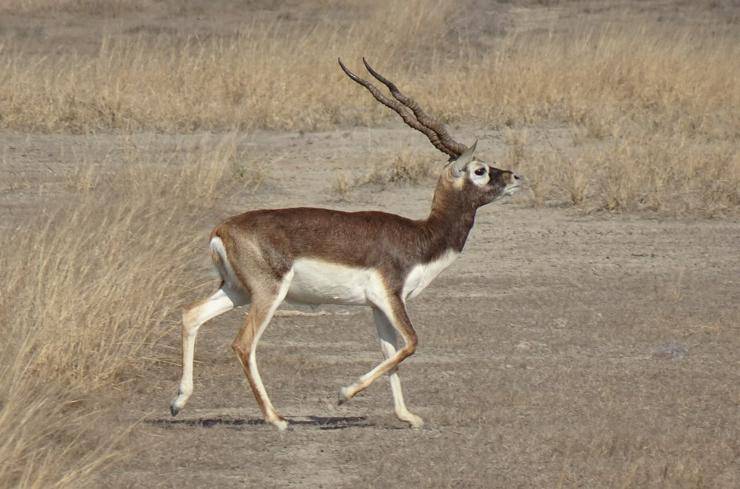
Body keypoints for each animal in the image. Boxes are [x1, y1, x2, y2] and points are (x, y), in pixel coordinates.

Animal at [171, 59, 524, 428]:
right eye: (480, 170)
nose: (515, 176)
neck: (422, 236)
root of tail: (222, 230)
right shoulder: (390, 295)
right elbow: (412, 342)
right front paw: (343, 394)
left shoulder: (378, 305)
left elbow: (392, 351)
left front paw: (407, 416)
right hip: (268, 294)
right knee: (243, 344)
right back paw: (276, 419)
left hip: (237, 290)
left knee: (191, 315)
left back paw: (178, 402)